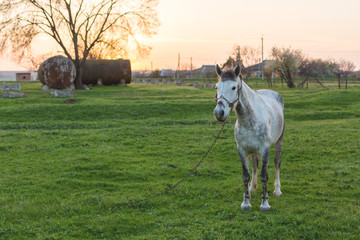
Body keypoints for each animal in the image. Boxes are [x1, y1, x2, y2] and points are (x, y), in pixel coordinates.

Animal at [214, 64, 284, 212]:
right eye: (217, 87)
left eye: (234, 87)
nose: (219, 113)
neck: (249, 119)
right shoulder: (242, 150)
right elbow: (245, 175)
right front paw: (246, 202)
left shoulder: (265, 150)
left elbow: (264, 175)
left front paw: (265, 204)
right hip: (253, 150)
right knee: (254, 164)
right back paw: (253, 187)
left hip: (279, 141)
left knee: (277, 163)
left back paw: (277, 190)